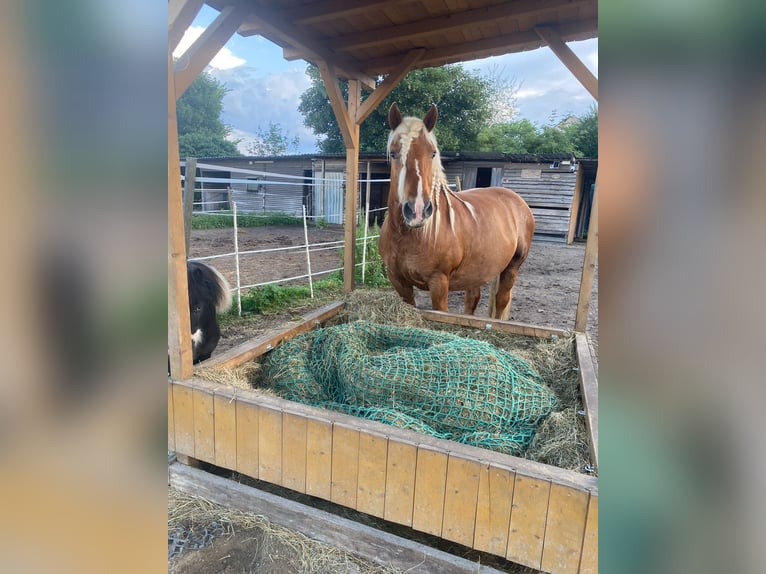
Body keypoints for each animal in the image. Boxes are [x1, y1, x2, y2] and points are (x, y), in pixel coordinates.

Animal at [379, 103, 535, 320]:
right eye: (394, 153)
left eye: (433, 153)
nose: (417, 211)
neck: (412, 235)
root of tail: (516, 200)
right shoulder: (398, 282)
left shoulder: (439, 283)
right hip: (478, 271)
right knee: (473, 299)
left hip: (512, 267)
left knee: (501, 300)